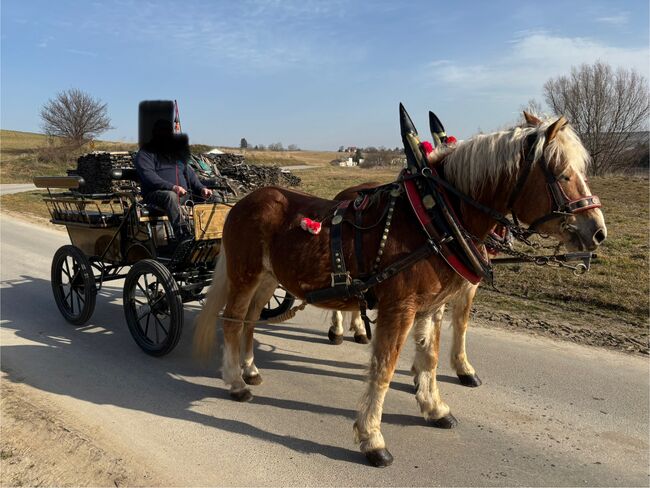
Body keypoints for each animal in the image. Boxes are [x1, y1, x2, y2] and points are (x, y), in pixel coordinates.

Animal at [191, 111, 604, 468]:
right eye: (562, 175)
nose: (597, 230)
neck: (436, 217)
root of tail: (243, 201)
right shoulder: (399, 308)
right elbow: (384, 368)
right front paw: (372, 438)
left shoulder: (432, 307)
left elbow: (431, 358)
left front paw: (434, 407)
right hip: (245, 275)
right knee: (232, 322)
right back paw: (235, 382)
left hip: (268, 279)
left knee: (249, 321)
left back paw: (249, 369)